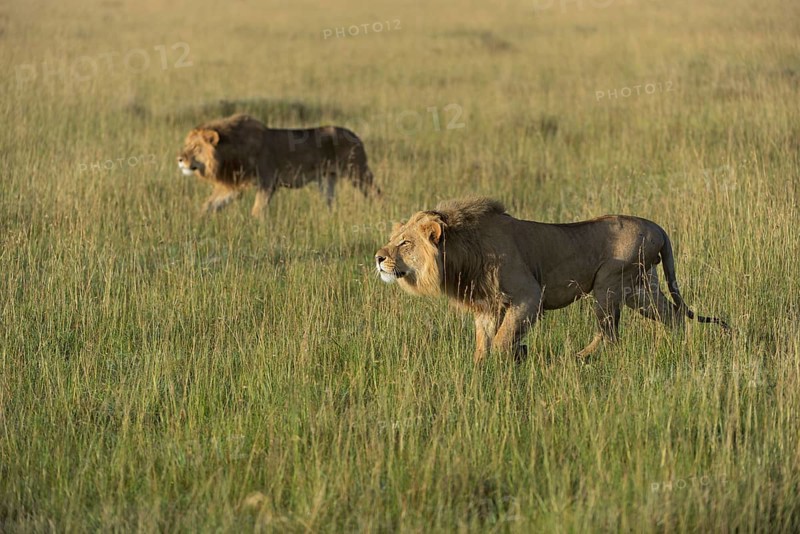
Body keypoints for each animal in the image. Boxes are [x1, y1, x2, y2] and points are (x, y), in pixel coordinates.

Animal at [177, 113, 380, 216]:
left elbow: (257, 210)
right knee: (330, 201)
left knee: (375, 191)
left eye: (195, 147)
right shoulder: (234, 185)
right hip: (327, 179)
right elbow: (209, 205)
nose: (179, 159)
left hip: (357, 171)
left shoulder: (267, 182)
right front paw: (197, 222)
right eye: (187, 145)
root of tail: (355, 135)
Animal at [375, 197, 728, 362]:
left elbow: (502, 339)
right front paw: (482, 368)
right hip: (639, 289)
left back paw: (581, 358)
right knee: (672, 315)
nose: (378, 258)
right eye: (394, 239)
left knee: (611, 334)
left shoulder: (529, 295)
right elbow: (484, 342)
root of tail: (658, 227)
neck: (464, 252)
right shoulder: (487, 305)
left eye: (405, 243)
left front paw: (512, 358)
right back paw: (680, 346)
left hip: (608, 285)